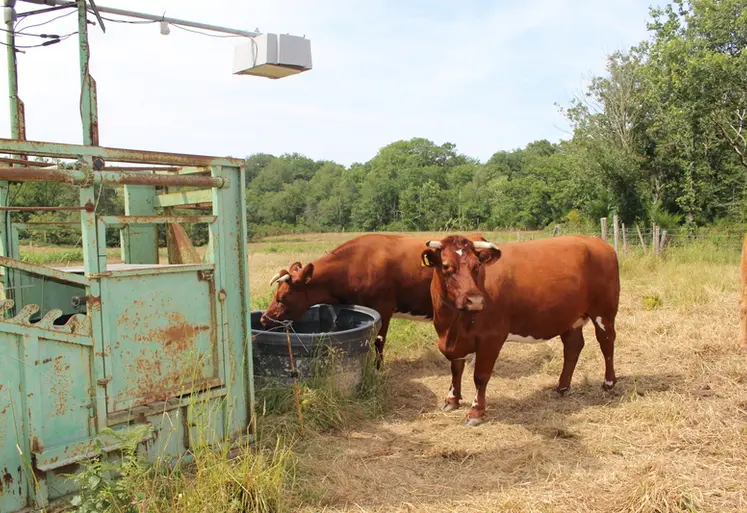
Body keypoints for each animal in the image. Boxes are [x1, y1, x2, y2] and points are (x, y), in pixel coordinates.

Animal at [260, 233, 487, 366]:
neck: (352, 266)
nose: (263, 319)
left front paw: (377, 368)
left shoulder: (383, 309)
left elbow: (379, 342)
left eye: (282, 297)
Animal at [420, 234, 620, 426]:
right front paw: (451, 400)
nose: (475, 301)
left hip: (604, 312)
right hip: (571, 317)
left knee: (606, 342)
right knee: (573, 347)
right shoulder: (456, 341)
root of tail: (595, 241)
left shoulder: (491, 338)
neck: (450, 326)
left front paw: (476, 412)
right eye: (446, 266)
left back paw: (609, 383)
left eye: (476, 266)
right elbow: (456, 369)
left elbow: (480, 376)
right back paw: (563, 387)